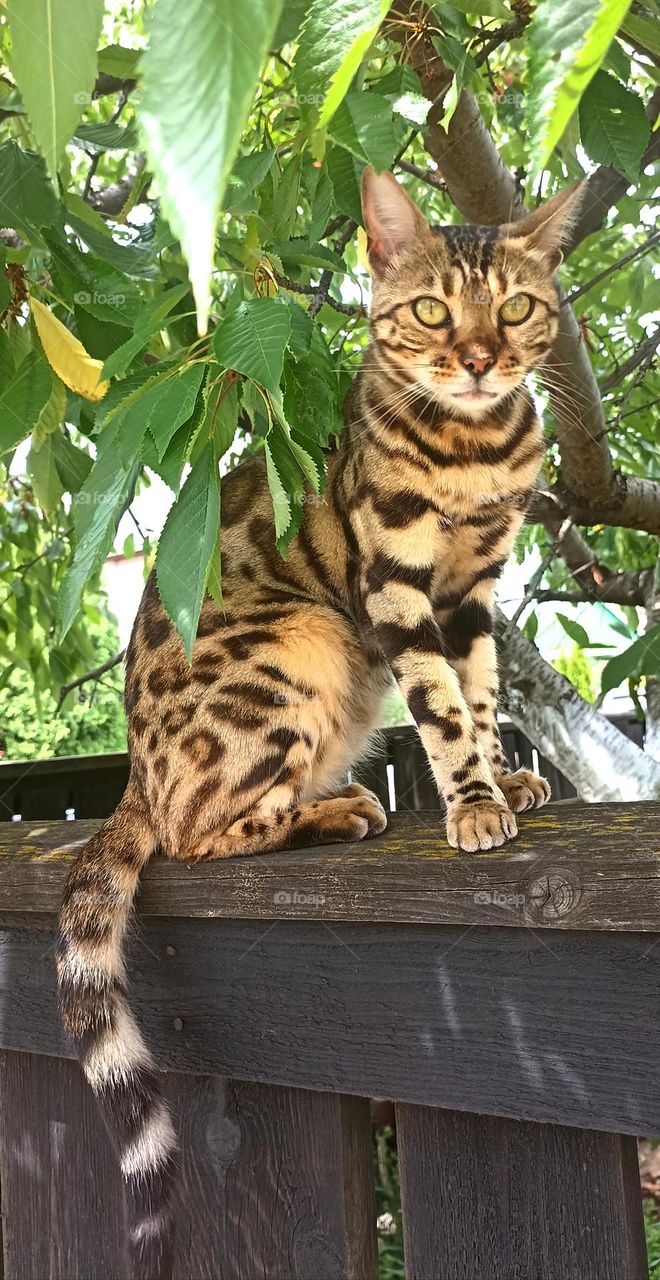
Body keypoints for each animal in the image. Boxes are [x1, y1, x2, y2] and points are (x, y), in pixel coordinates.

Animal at [57, 170, 583, 1280]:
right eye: (433, 311)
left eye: (515, 307)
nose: (481, 360)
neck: (475, 452)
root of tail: (130, 771)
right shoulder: (396, 583)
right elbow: (441, 705)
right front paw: (474, 804)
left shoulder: (475, 588)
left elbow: (481, 690)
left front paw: (506, 780)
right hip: (299, 644)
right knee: (195, 831)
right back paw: (334, 812)